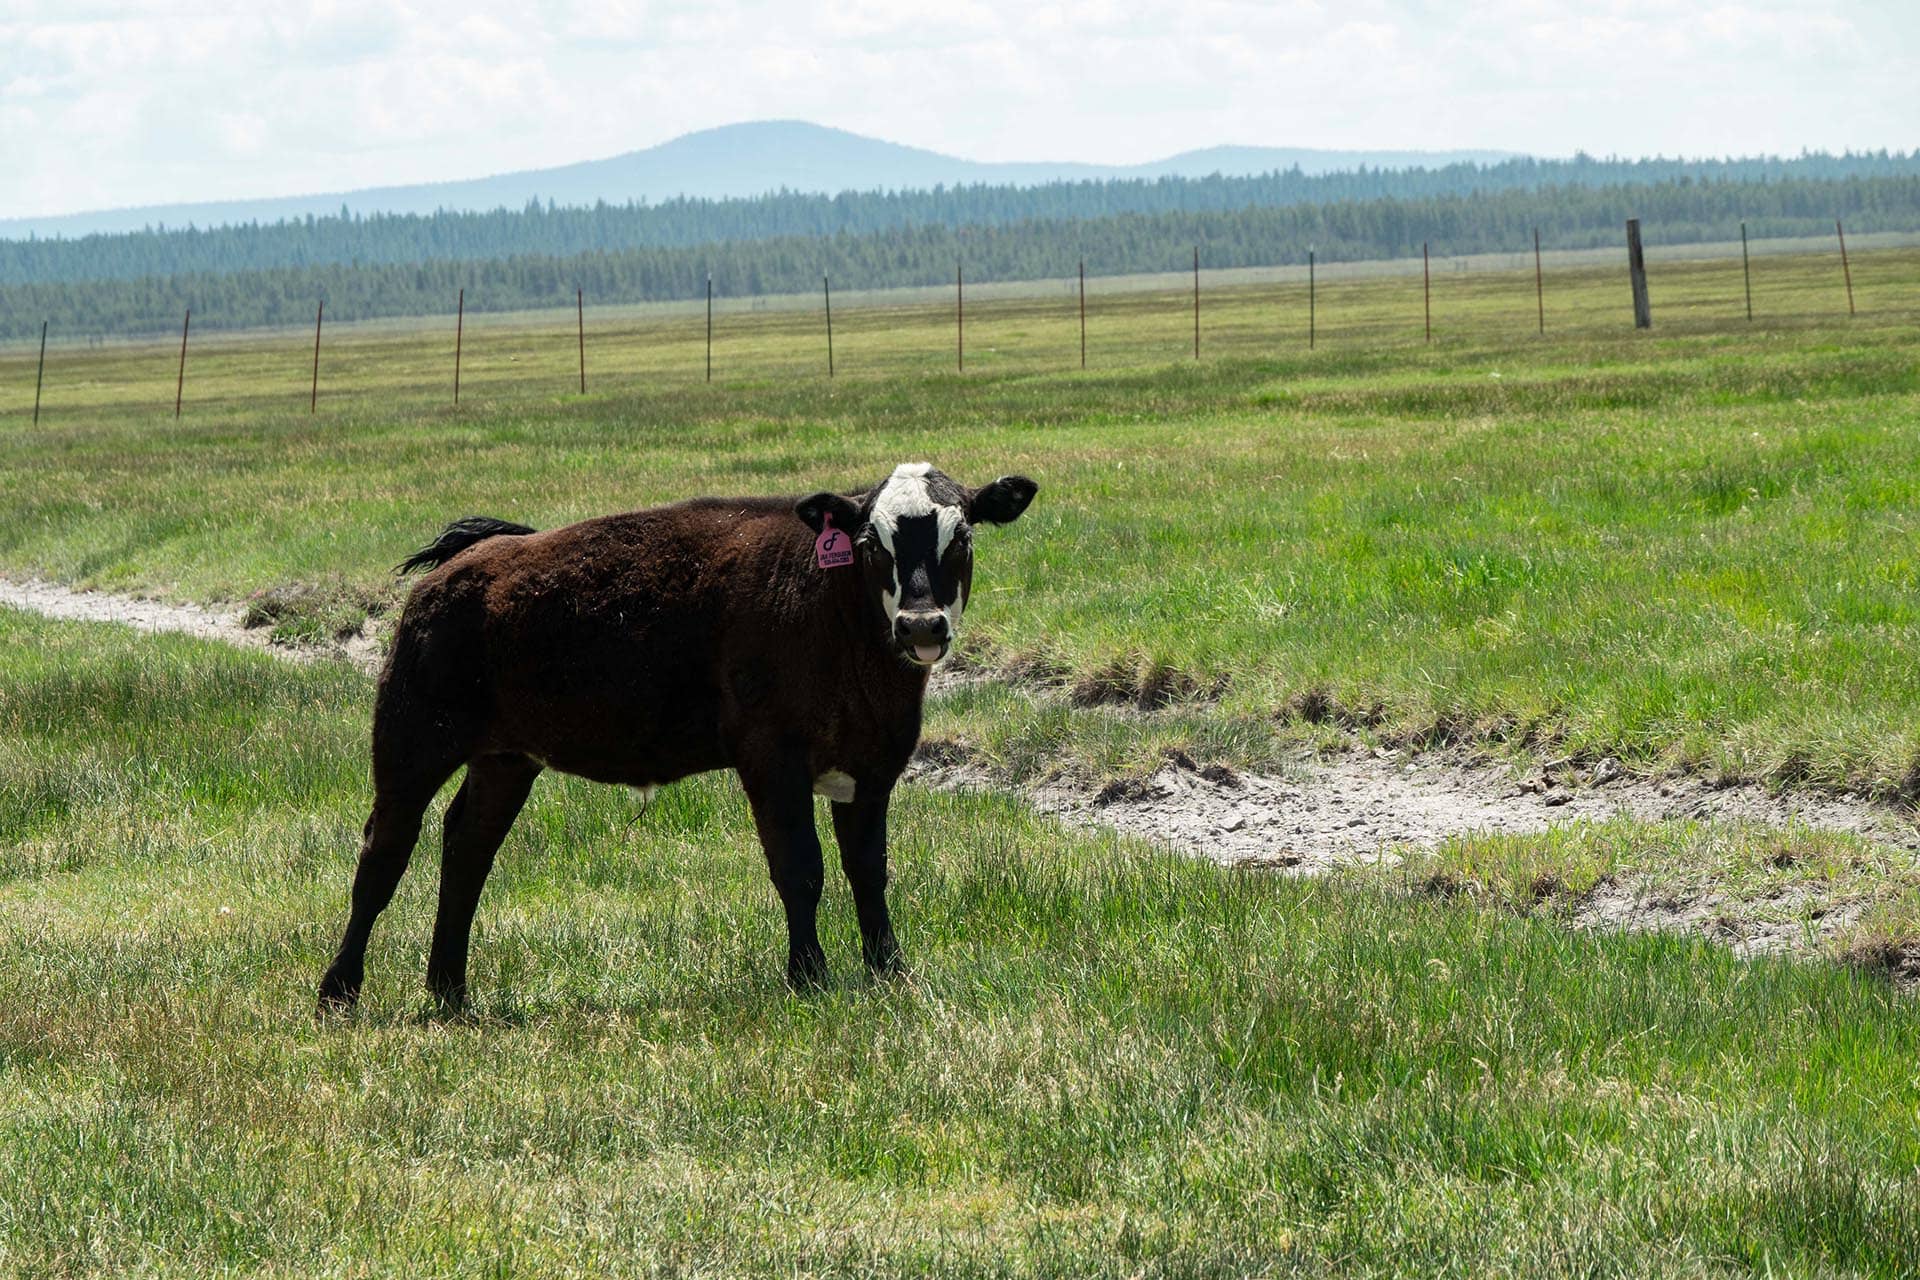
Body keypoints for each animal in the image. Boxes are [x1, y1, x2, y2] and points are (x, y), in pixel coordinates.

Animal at [317, 463, 1038, 1012]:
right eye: (870, 543)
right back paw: (340, 990)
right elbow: (800, 868)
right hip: (413, 739)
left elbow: (869, 870)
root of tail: (468, 559)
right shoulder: (771, 758)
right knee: (385, 850)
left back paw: (449, 990)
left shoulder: (873, 764)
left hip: (506, 757)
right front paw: (808, 977)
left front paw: (889, 970)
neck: (834, 614)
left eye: (961, 536)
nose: (922, 625)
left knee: (467, 849)